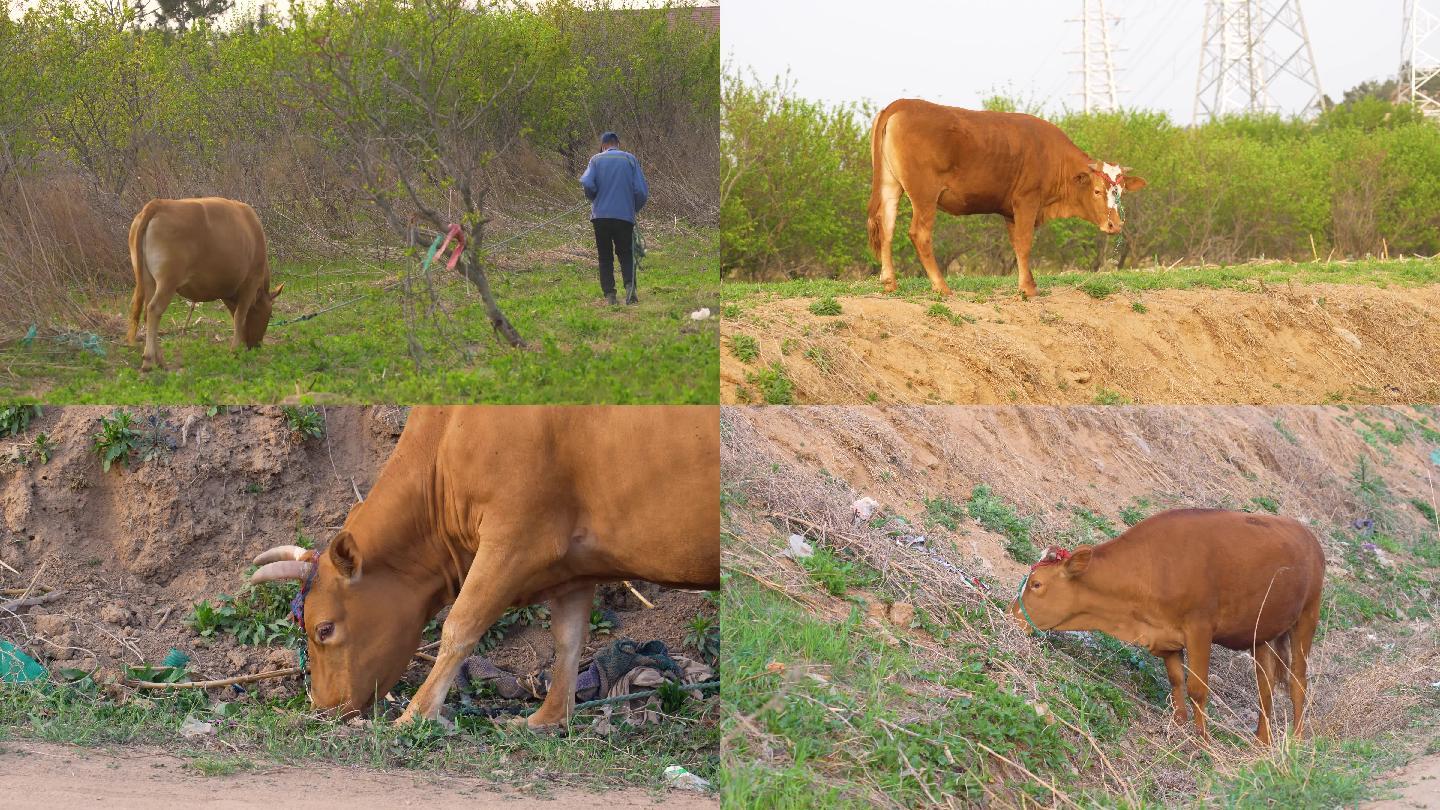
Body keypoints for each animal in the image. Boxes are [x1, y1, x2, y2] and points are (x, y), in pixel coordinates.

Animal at [125, 198, 282, 368]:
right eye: (270, 314)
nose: (256, 346)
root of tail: (159, 204)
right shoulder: (250, 283)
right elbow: (240, 316)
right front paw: (235, 350)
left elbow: (236, 315)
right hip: (167, 281)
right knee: (154, 309)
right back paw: (148, 361)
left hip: (148, 280)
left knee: (148, 313)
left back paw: (159, 360)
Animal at [252, 403, 720, 726]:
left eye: (323, 629)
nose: (323, 707)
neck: (445, 444)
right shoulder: (572, 567)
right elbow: (568, 640)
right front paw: (547, 719)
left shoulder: (514, 541)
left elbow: (459, 626)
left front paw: (416, 713)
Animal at [864, 98, 1146, 298]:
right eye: (1097, 190)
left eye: (1121, 192)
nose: (1115, 224)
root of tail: (902, 104)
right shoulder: (1026, 200)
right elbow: (1025, 243)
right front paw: (1027, 289)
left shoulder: (1011, 210)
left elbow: (1016, 244)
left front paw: (1029, 282)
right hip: (924, 194)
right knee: (919, 233)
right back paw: (941, 286)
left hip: (890, 185)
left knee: (886, 227)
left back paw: (889, 282)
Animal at [1008, 507, 1319, 743]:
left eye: (1037, 584)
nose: (1012, 616)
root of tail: (1307, 534)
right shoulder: (1165, 634)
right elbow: (1176, 680)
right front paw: (1179, 725)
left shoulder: (1200, 628)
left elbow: (1197, 688)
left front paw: (1202, 740)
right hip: (1262, 634)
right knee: (1266, 686)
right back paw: (1262, 741)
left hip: (1307, 617)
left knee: (1297, 682)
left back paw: (1296, 739)